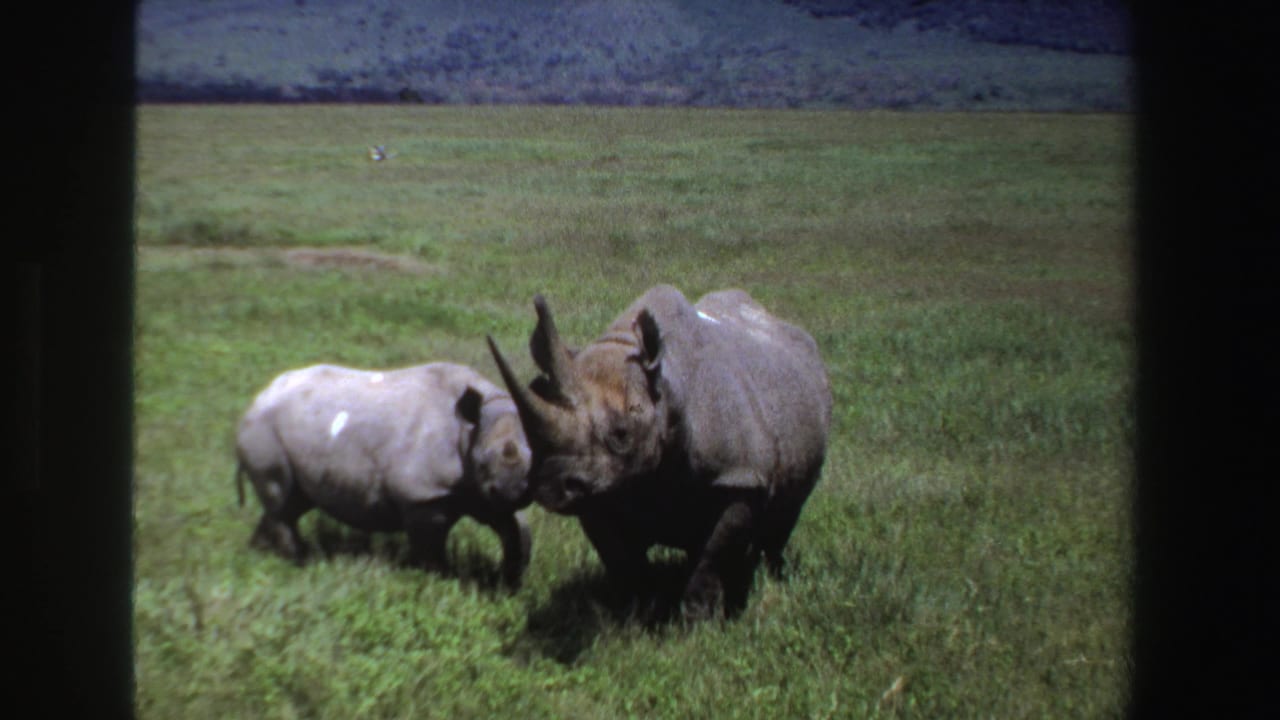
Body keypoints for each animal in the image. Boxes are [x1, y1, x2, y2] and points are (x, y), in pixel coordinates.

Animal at [235, 362, 533, 587]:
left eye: (535, 464)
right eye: (482, 463)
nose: (513, 493)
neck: (469, 431)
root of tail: (257, 399)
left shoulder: (479, 493)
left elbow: (516, 532)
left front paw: (508, 586)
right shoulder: (424, 496)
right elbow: (431, 553)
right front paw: (437, 585)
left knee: (290, 504)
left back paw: (260, 554)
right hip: (262, 429)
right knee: (283, 505)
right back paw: (298, 564)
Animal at [486, 285, 832, 618]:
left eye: (622, 434)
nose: (551, 487)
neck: (666, 391)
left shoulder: (739, 477)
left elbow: (712, 558)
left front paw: (697, 624)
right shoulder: (597, 490)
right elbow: (622, 562)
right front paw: (636, 616)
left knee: (786, 514)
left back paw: (772, 577)